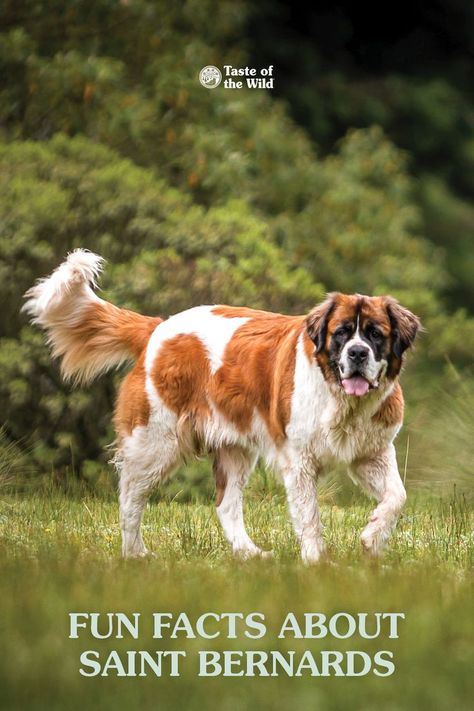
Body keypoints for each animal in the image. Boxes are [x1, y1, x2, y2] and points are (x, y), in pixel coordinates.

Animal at [24, 250, 420, 560]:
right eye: (341, 333)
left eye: (375, 334)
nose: (357, 353)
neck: (341, 400)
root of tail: (157, 329)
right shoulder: (299, 462)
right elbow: (310, 517)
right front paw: (317, 562)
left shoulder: (372, 452)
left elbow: (397, 497)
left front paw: (372, 538)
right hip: (156, 443)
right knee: (130, 499)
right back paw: (135, 554)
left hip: (234, 449)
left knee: (225, 505)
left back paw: (249, 554)